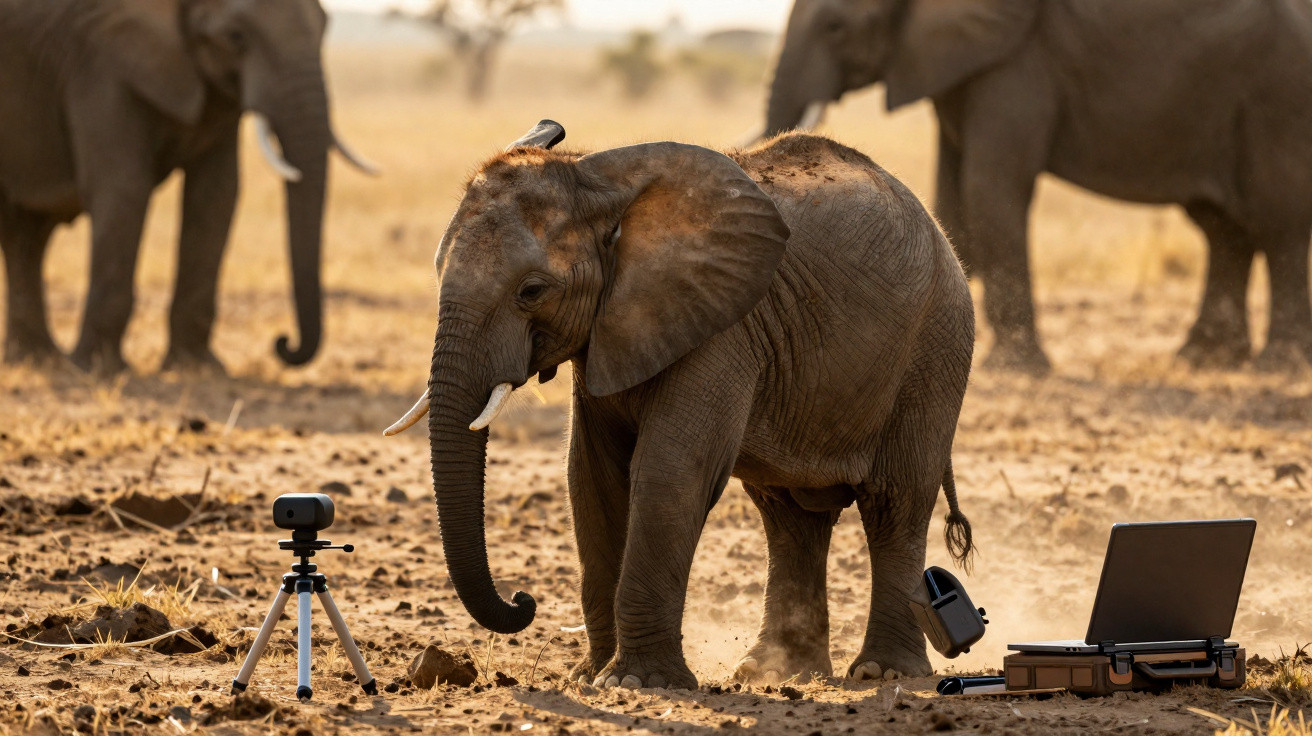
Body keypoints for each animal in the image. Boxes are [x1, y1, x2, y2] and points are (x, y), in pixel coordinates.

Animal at [0, 0, 375, 373]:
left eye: (324, 27)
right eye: (235, 36)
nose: (283, 343)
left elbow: (217, 194)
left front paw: (197, 368)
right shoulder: (98, 66)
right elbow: (124, 188)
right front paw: (98, 369)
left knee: (27, 236)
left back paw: (37, 358)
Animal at [385, 120, 976, 688]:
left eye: (531, 291)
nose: (522, 600)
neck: (595, 180)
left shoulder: (725, 326)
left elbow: (670, 471)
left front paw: (636, 682)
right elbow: (592, 478)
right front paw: (590, 675)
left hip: (935, 348)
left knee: (894, 502)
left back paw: (884, 673)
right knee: (789, 517)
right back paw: (777, 673)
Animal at [764, 0, 1312, 373]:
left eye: (836, 25)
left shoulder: (1018, 63)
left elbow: (990, 185)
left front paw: (1015, 367)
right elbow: (951, 196)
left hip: (1280, 93)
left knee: (1278, 219)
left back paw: (1276, 364)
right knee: (1222, 226)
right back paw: (1203, 359)